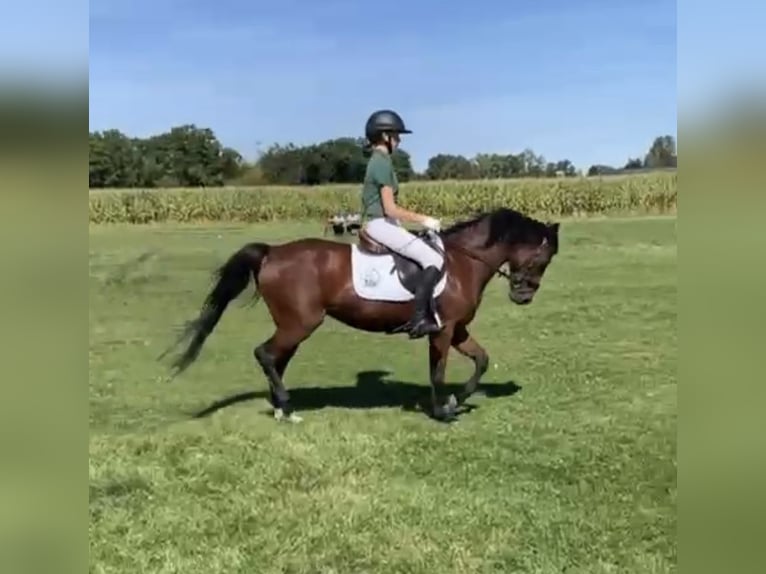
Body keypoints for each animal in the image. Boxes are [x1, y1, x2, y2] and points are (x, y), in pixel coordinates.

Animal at [161, 207, 560, 423]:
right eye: (543, 258)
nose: (523, 296)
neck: (463, 261)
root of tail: (272, 252)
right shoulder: (443, 330)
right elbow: (438, 372)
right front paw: (442, 410)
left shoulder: (458, 329)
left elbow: (481, 360)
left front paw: (456, 400)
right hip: (300, 322)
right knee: (266, 354)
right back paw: (286, 406)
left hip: (294, 325)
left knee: (275, 358)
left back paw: (281, 408)